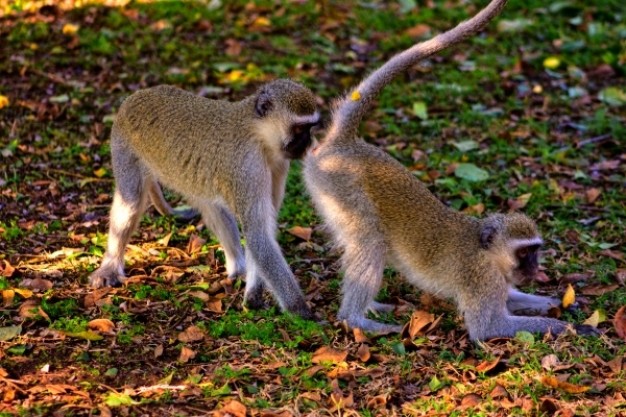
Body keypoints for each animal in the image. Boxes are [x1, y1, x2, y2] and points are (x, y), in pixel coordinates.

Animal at [88, 79, 320, 318]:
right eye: (300, 129)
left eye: (310, 128)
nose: (310, 142)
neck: (258, 134)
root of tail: (137, 96)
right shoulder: (248, 167)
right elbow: (258, 234)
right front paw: (301, 310)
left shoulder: (278, 164)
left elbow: (262, 231)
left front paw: (253, 295)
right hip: (123, 145)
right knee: (130, 202)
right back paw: (110, 266)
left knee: (213, 208)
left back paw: (238, 269)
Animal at [302, 0, 596, 338]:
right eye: (524, 253)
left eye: (535, 250)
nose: (534, 269)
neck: (487, 251)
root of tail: (345, 144)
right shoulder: (483, 279)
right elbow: (488, 327)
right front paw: (570, 327)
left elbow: (513, 297)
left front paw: (558, 302)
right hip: (340, 188)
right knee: (371, 242)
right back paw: (356, 319)